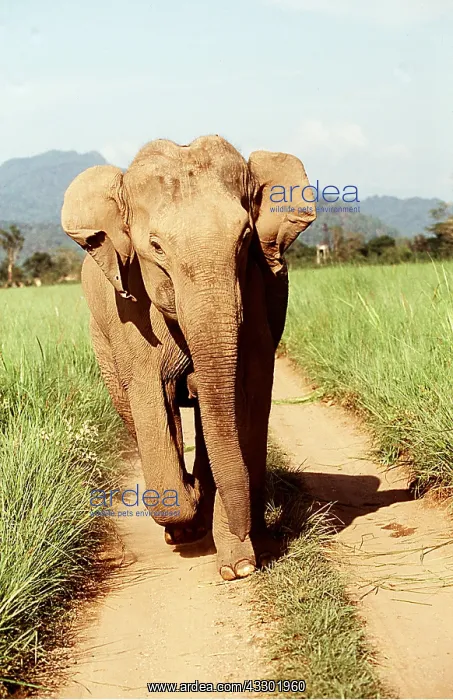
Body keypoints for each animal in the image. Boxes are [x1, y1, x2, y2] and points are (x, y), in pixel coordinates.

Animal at [61, 135, 316, 581]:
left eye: (245, 239)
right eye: (156, 247)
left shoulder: (254, 292)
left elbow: (247, 395)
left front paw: (240, 565)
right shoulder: (130, 310)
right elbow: (149, 395)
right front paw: (192, 509)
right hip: (102, 342)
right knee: (138, 411)